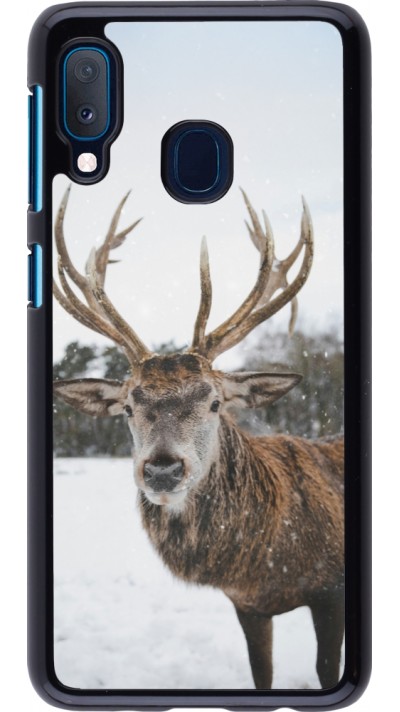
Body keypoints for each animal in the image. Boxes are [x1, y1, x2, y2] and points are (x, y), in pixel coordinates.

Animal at [53, 186, 344, 690]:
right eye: (127, 407)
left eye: (214, 402)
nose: (163, 469)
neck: (267, 564)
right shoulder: (248, 605)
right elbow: (261, 674)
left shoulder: (332, 590)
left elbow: (328, 669)